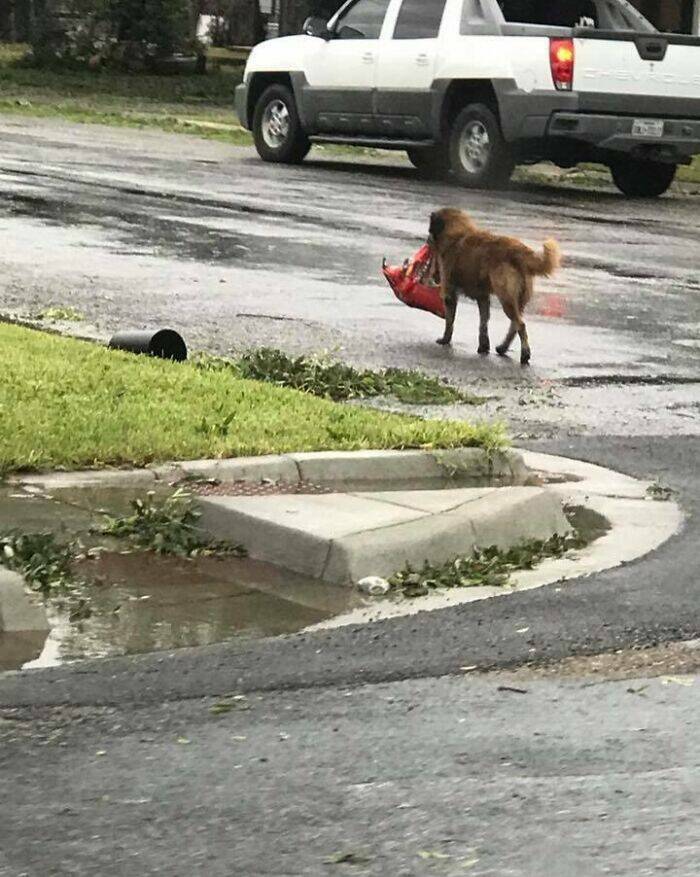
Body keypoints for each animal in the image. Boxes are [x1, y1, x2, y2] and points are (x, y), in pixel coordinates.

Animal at [424, 208, 560, 362]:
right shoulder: (483, 297)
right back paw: (503, 347)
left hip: (506, 298)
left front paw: (445, 340)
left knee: (520, 324)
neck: (457, 233)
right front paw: (483, 346)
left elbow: (450, 321)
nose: (427, 239)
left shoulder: (450, 294)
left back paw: (525, 354)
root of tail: (518, 251)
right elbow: (483, 323)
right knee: (515, 325)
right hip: (518, 300)